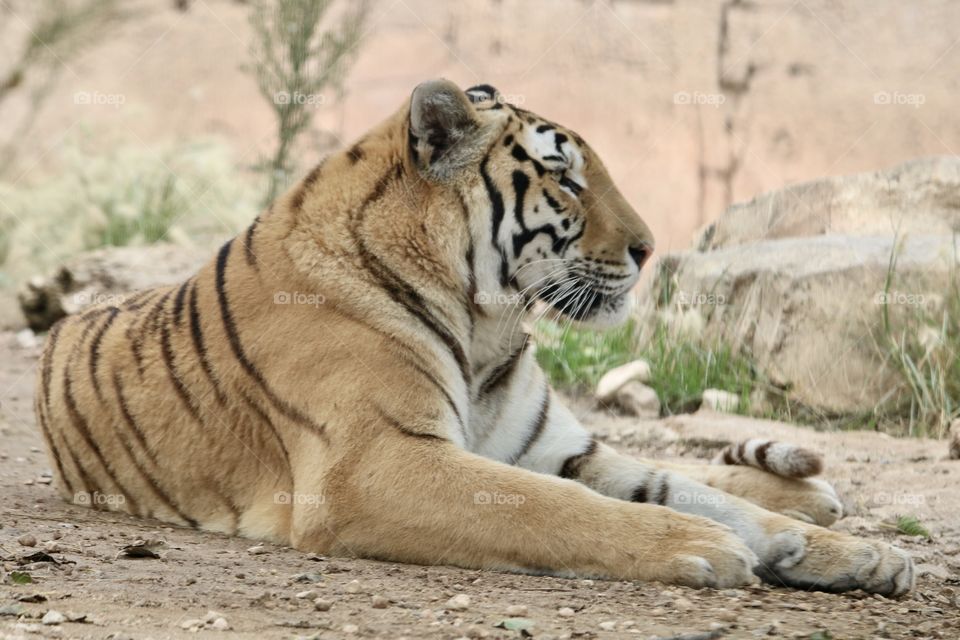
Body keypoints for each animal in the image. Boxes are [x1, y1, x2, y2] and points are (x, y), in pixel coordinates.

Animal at [35, 79, 913, 596]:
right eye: (566, 179)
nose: (648, 248)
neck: (488, 324)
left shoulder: (558, 447)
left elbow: (682, 485)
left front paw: (858, 555)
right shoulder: (379, 463)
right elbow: (553, 507)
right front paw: (703, 546)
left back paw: (815, 498)